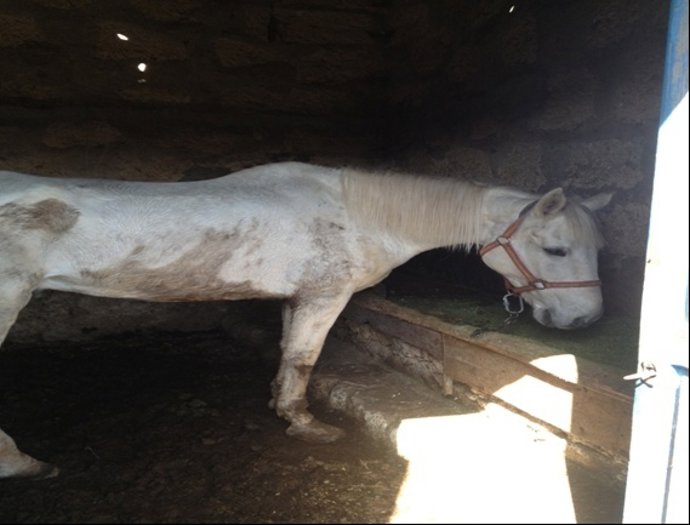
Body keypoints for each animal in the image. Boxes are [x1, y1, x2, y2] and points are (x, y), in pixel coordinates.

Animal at [0, 161, 612, 479]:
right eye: (557, 250)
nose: (584, 322)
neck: (360, 215)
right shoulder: (324, 297)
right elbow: (304, 358)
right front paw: (307, 424)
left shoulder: (298, 298)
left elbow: (287, 356)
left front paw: (280, 407)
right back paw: (21, 462)